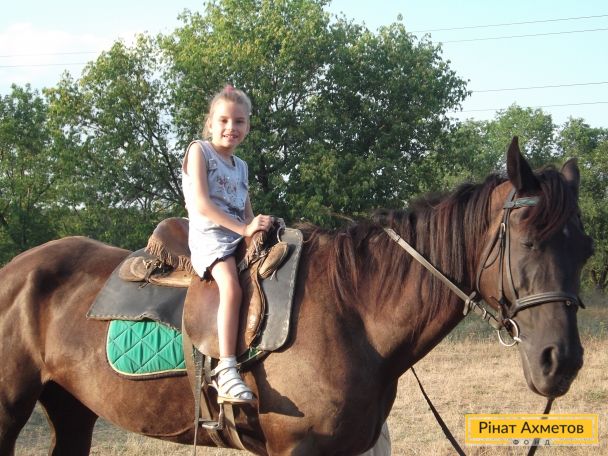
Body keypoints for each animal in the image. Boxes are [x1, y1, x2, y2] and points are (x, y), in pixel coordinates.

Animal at [0, 138, 593, 455]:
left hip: (73, 409)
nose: (560, 362)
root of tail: (16, 269)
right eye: (528, 242)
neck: (355, 311)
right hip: (12, 409)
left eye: (585, 250)